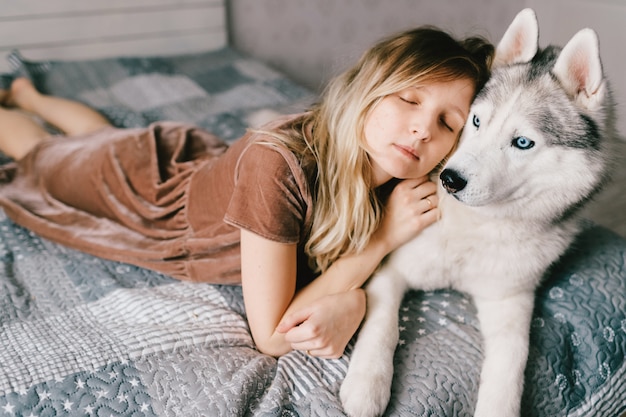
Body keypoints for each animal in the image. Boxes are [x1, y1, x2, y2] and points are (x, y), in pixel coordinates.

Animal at [338, 7, 616, 416]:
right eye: (476, 121)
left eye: (522, 142)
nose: (450, 180)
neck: (477, 230)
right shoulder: (389, 269)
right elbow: (382, 326)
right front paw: (366, 385)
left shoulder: (511, 302)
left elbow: (512, 362)